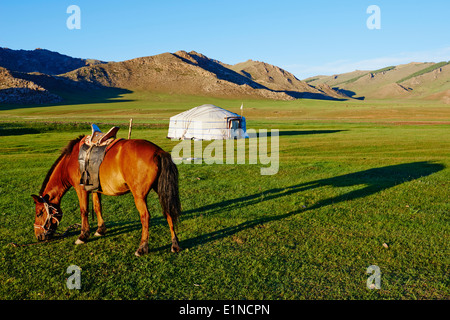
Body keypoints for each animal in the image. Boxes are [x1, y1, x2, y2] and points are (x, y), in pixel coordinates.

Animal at [30, 136, 183, 256]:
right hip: (161, 190)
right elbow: (97, 207)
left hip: (139, 195)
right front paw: (100, 230)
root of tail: (158, 151)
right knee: (168, 212)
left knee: (145, 216)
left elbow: (84, 211)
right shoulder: (95, 189)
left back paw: (142, 247)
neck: (70, 161)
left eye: (39, 213)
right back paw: (175, 244)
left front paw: (83, 236)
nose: (39, 236)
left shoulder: (81, 190)